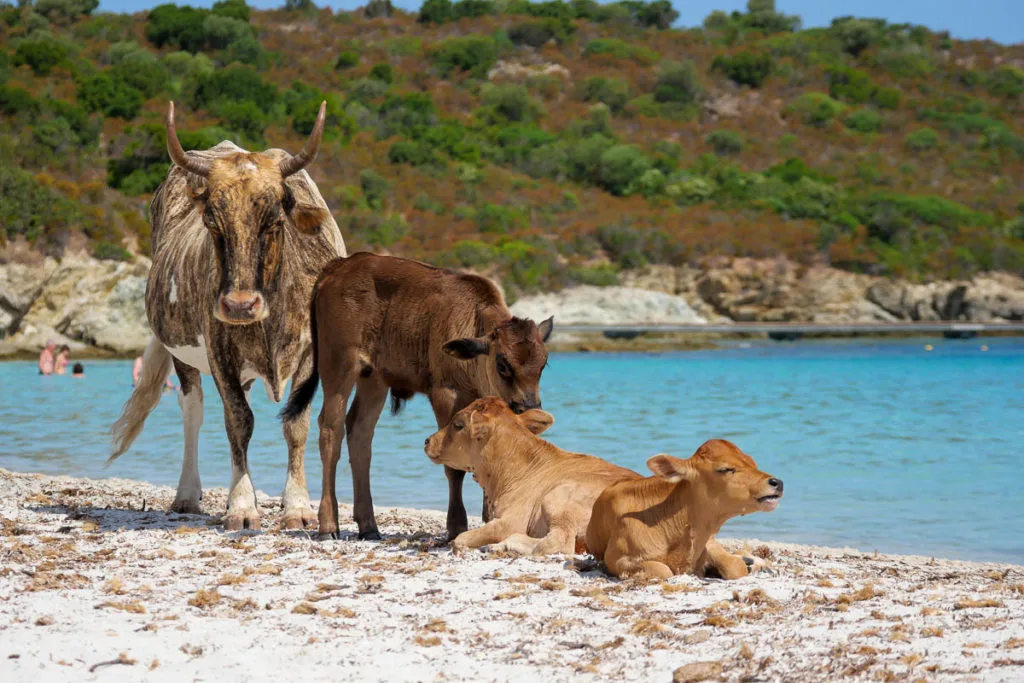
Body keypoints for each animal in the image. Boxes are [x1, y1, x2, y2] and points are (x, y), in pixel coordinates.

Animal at [109, 101, 346, 531]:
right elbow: (238, 422)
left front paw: (297, 506)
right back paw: (188, 495)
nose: (239, 305)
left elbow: (297, 425)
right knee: (195, 410)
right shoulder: (219, 351)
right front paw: (241, 505)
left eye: (275, 220)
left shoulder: (312, 355)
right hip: (182, 352)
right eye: (211, 222)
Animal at [279, 252, 554, 541]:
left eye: (543, 363)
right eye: (502, 364)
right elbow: (453, 466)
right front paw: (456, 526)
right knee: (331, 431)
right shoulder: (444, 394)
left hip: (374, 380)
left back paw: (369, 527)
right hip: (339, 369)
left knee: (360, 433)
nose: (528, 405)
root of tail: (340, 266)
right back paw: (329, 526)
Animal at [424, 397, 640, 555]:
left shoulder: (511, 521)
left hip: (559, 498)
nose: (427, 441)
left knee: (557, 543)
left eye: (458, 424)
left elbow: (460, 539)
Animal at [585, 439, 783, 580]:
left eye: (752, 462)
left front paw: (748, 563)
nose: (777, 482)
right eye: (725, 468)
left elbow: (735, 566)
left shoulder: (707, 541)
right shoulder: (616, 559)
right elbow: (663, 570)